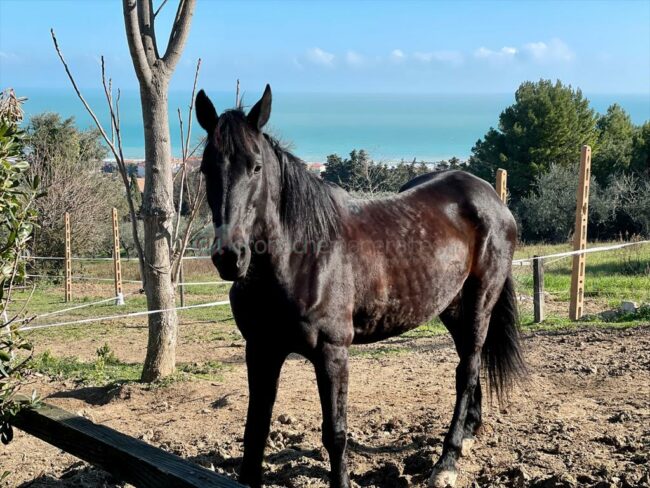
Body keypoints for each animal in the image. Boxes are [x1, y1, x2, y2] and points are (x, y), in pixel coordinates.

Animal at [195, 85, 525, 488]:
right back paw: (470, 430)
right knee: (469, 362)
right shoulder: (261, 349)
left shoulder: (332, 352)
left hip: (480, 302)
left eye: (256, 166)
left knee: (467, 370)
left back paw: (447, 461)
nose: (230, 256)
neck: (300, 256)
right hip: (451, 304)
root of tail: (491, 198)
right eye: (206, 168)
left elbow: (335, 433)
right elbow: (255, 430)